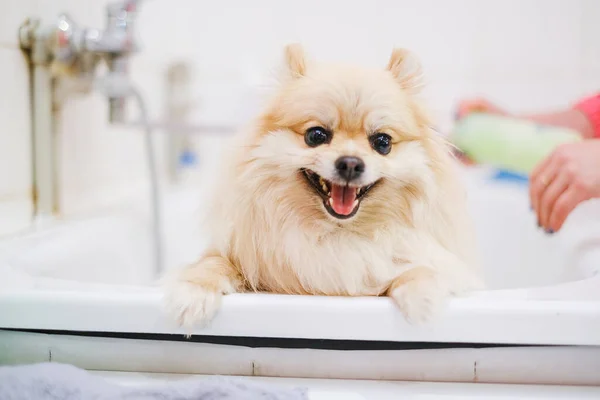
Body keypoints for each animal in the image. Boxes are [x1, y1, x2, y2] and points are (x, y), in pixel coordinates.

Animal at [163, 43, 482, 328]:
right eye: (316, 135)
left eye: (382, 142)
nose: (351, 163)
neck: (336, 234)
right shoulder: (238, 254)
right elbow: (211, 263)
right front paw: (193, 293)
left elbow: (418, 268)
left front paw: (423, 296)